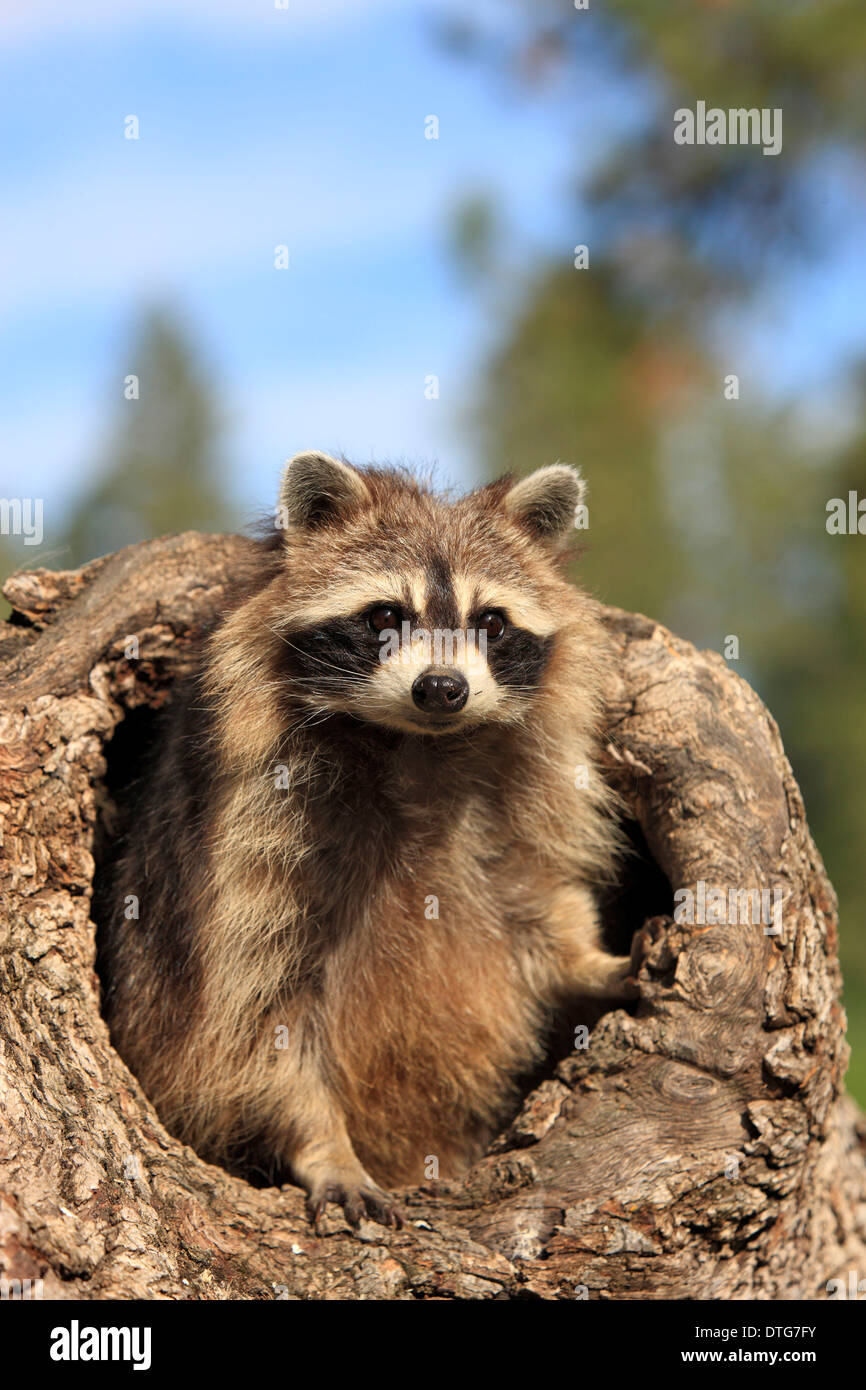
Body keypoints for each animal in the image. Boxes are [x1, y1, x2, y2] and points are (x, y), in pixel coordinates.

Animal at [101, 452, 634, 1229]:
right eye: (386, 615)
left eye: (491, 623)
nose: (442, 688)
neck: (416, 746)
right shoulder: (252, 831)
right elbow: (250, 1013)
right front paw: (322, 1141)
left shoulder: (516, 801)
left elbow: (536, 898)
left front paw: (591, 960)